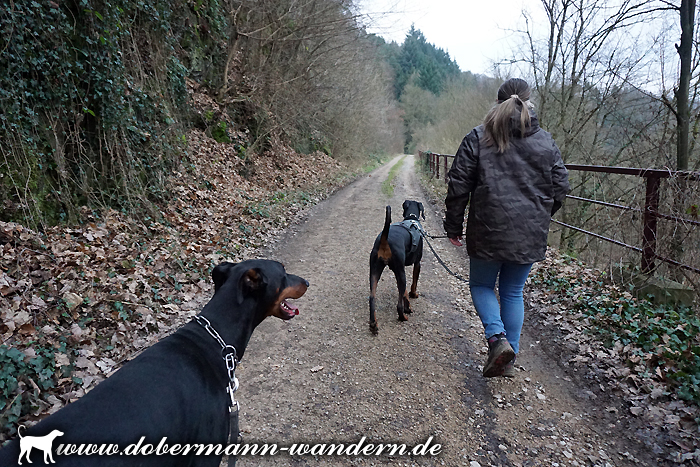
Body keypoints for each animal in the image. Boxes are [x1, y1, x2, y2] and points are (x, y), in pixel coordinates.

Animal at [369, 200, 425, 334]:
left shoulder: (398, 270)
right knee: (398, 306)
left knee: (372, 297)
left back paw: (373, 324)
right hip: (400, 273)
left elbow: (403, 292)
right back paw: (403, 316)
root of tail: (384, 238)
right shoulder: (417, 264)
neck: (411, 218)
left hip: (375, 271)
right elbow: (414, 283)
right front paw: (413, 295)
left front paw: (408, 305)